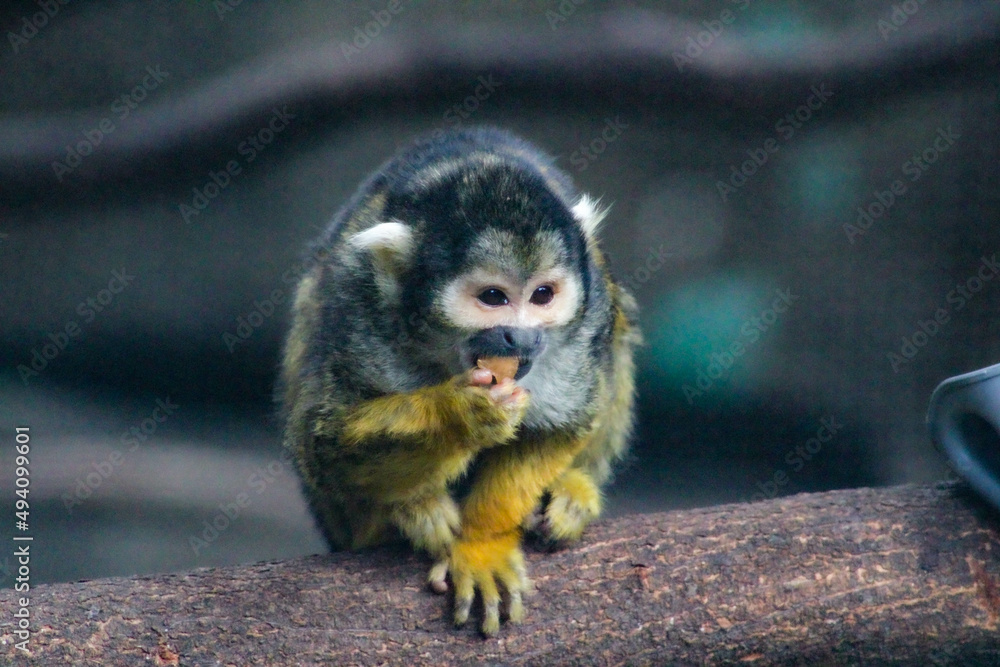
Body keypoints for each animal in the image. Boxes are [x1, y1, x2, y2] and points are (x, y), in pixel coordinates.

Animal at [279, 126, 640, 636]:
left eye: (542, 295)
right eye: (493, 297)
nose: (521, 336)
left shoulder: (584, 323)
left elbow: (558, 427)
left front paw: (482, 544)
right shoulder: (361, 309)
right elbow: (324, 448)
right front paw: (462, 415)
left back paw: (572, 491)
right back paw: (406, 513)